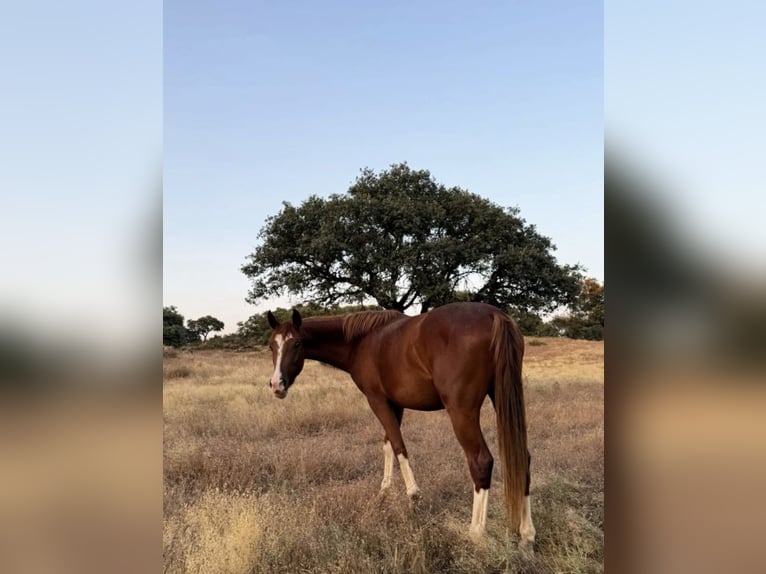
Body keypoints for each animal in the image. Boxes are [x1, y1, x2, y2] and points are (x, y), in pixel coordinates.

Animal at [265, 302, 535, 548]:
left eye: (297, 344)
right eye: (271, 345)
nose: (277, 385)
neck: (361, 341)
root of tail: (494, 315)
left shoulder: (377, 400)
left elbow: (398, 445)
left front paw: (413, 495)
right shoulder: (396, 404)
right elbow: (388, 444)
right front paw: (384, 491)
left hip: (462, 411)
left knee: (480, 461)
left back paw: (476, 533)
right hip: (502, 397)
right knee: (522, 458)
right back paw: (527, 535)